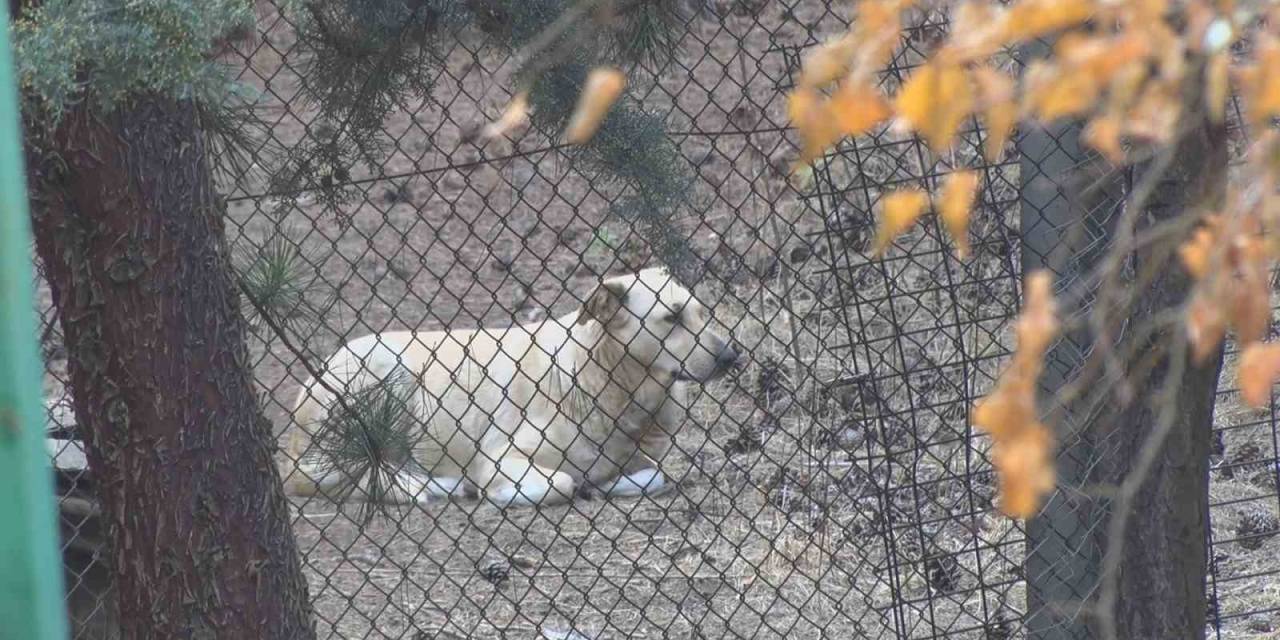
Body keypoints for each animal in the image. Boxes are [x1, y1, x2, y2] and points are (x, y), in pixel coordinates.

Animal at [282, 267, 742, 506]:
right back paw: (431, 487)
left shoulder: (643, 459)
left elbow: (652, 475)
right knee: (343, 475)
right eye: (672, 318)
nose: (732, 357)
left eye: (701, 312)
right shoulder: (501, 457)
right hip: (387, 371)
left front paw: (604, 484)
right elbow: (562, 482)